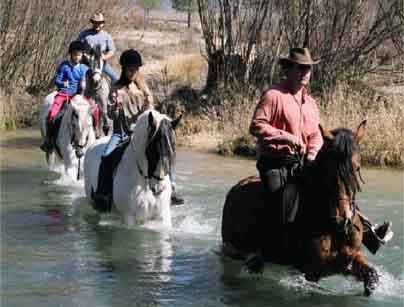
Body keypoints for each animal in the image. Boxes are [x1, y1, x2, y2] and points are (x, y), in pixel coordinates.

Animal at [221, 120, 378, 296]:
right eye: (329, 170)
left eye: (357, 168)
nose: (342, 219)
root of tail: (234, 189)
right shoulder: (313, 271)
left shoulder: (349, 258)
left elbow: (371, 274)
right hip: (234, 249)